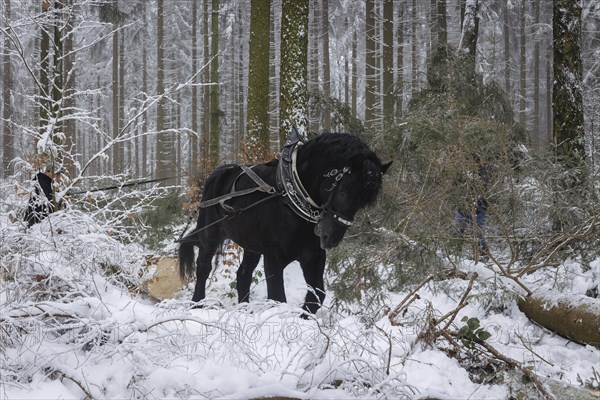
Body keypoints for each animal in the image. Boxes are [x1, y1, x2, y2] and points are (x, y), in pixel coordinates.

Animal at [178, 133, 390, 314]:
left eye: (363, 202)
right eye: (344, 192)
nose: (331, 238)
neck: (289, 196)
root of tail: (219, 173)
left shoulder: (312, 256)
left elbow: (317, 295)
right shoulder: (273, 256)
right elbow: (278, 297)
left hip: (251, 245)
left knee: (243, 274)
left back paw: (244, 310)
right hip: (211, 235)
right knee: (203, 267)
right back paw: (197, 304)